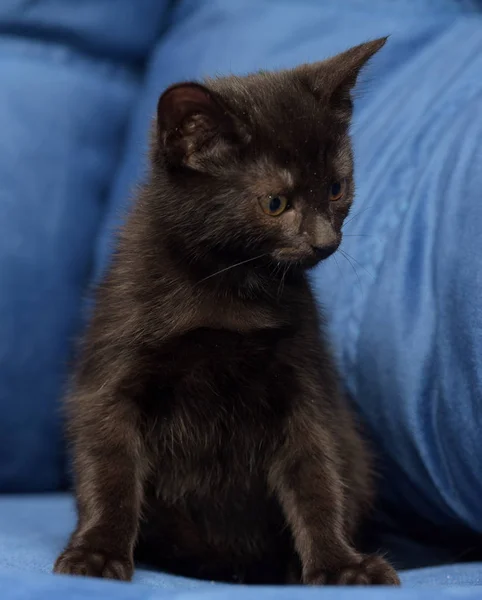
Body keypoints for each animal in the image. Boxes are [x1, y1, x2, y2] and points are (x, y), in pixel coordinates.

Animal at [53, 38, 400, 584]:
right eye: (275, 203)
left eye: (336, 189)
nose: (325, 240)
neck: (229, 285)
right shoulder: (111, 375)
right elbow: (109, 468)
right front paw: (98, 551)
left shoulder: (304, 382)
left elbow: (318, 475)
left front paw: (340, 563)